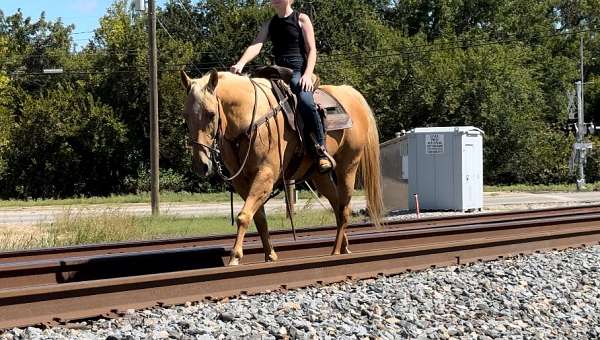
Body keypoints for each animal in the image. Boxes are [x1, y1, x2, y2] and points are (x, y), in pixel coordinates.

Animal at [180, 69, 382, 266]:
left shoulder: (265, 175)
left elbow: (244, 215)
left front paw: (235, 256)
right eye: (186, 116)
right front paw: (270, 255)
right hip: (320, 176)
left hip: (348, 167)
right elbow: (258, 218)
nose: (201, 166)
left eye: (211, 114)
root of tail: (351, 93)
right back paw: (344, 246)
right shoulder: (241, 181)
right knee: (337, 205)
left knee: (344, 209)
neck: (249, 120)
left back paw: (335, 252)